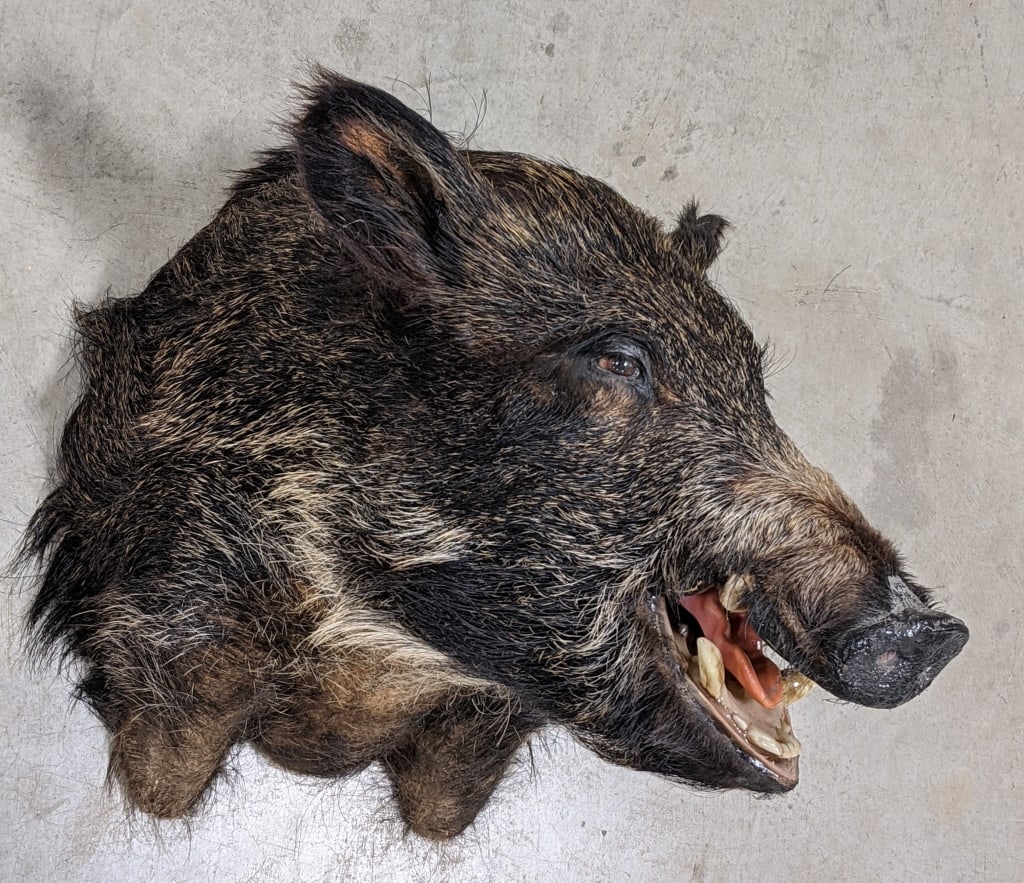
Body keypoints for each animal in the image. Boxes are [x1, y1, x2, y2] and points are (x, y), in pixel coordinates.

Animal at [23, 68, 969, 840]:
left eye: (755, 383)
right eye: (619, 361)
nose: (935, 630)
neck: (392, 654)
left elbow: (440, 812)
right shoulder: (172, 595)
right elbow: (161, 784)